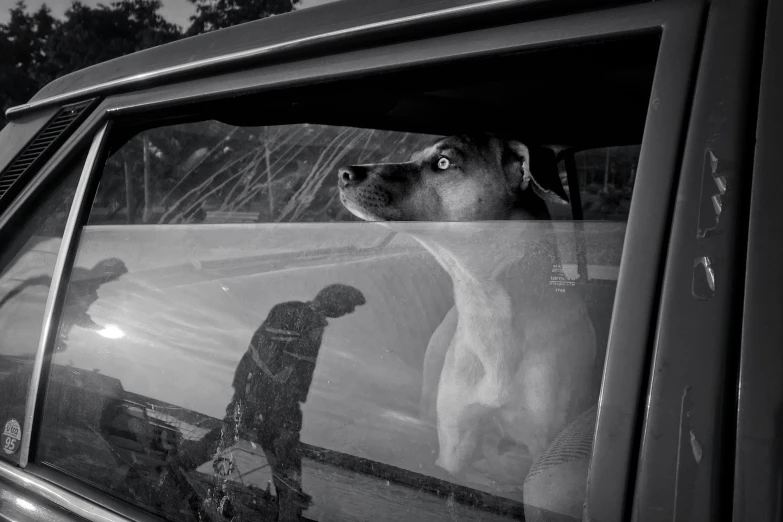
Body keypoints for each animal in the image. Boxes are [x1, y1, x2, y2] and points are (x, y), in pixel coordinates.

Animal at [336, 135, 600, 480]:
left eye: (444, 163)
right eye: (415, 156)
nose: (343, 173)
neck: (486, 304)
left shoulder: (543, 440)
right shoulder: (455, 439)